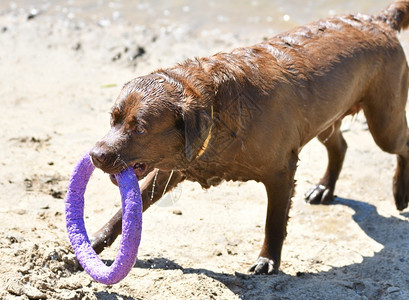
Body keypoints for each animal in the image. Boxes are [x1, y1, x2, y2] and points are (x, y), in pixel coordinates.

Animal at [88, 1, 408, 274]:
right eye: (113, 119)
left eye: (140, 127)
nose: (95, 155)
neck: (216, 109)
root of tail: (379, 19)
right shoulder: (174, 165)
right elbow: (123, 214)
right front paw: (90, 247)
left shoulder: (281, 172)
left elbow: (274, 222)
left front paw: (268, 260)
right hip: (326, 118)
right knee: (340, 145)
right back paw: (324, 188)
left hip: (384, 121)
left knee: (401, 145)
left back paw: (400, 192)